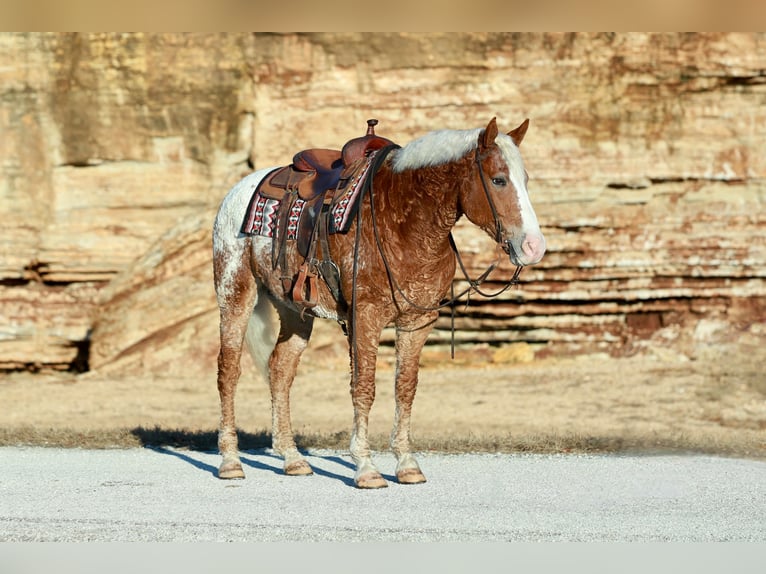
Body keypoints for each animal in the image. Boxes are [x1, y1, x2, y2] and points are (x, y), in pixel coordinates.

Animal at [212, 117, 546, 489]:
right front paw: (366, 467)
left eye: (526, 179)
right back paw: (230, 461)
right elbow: (364, 387)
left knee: (280, 371)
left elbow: (405, 387)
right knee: (228, 372)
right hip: (235, 292)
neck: (405, 221)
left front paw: (407, 464)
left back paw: (292, 458)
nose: (534, 247)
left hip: (295, 311)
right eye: (498, 179)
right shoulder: (366, 317)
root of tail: (238, 190)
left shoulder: (417, 322)